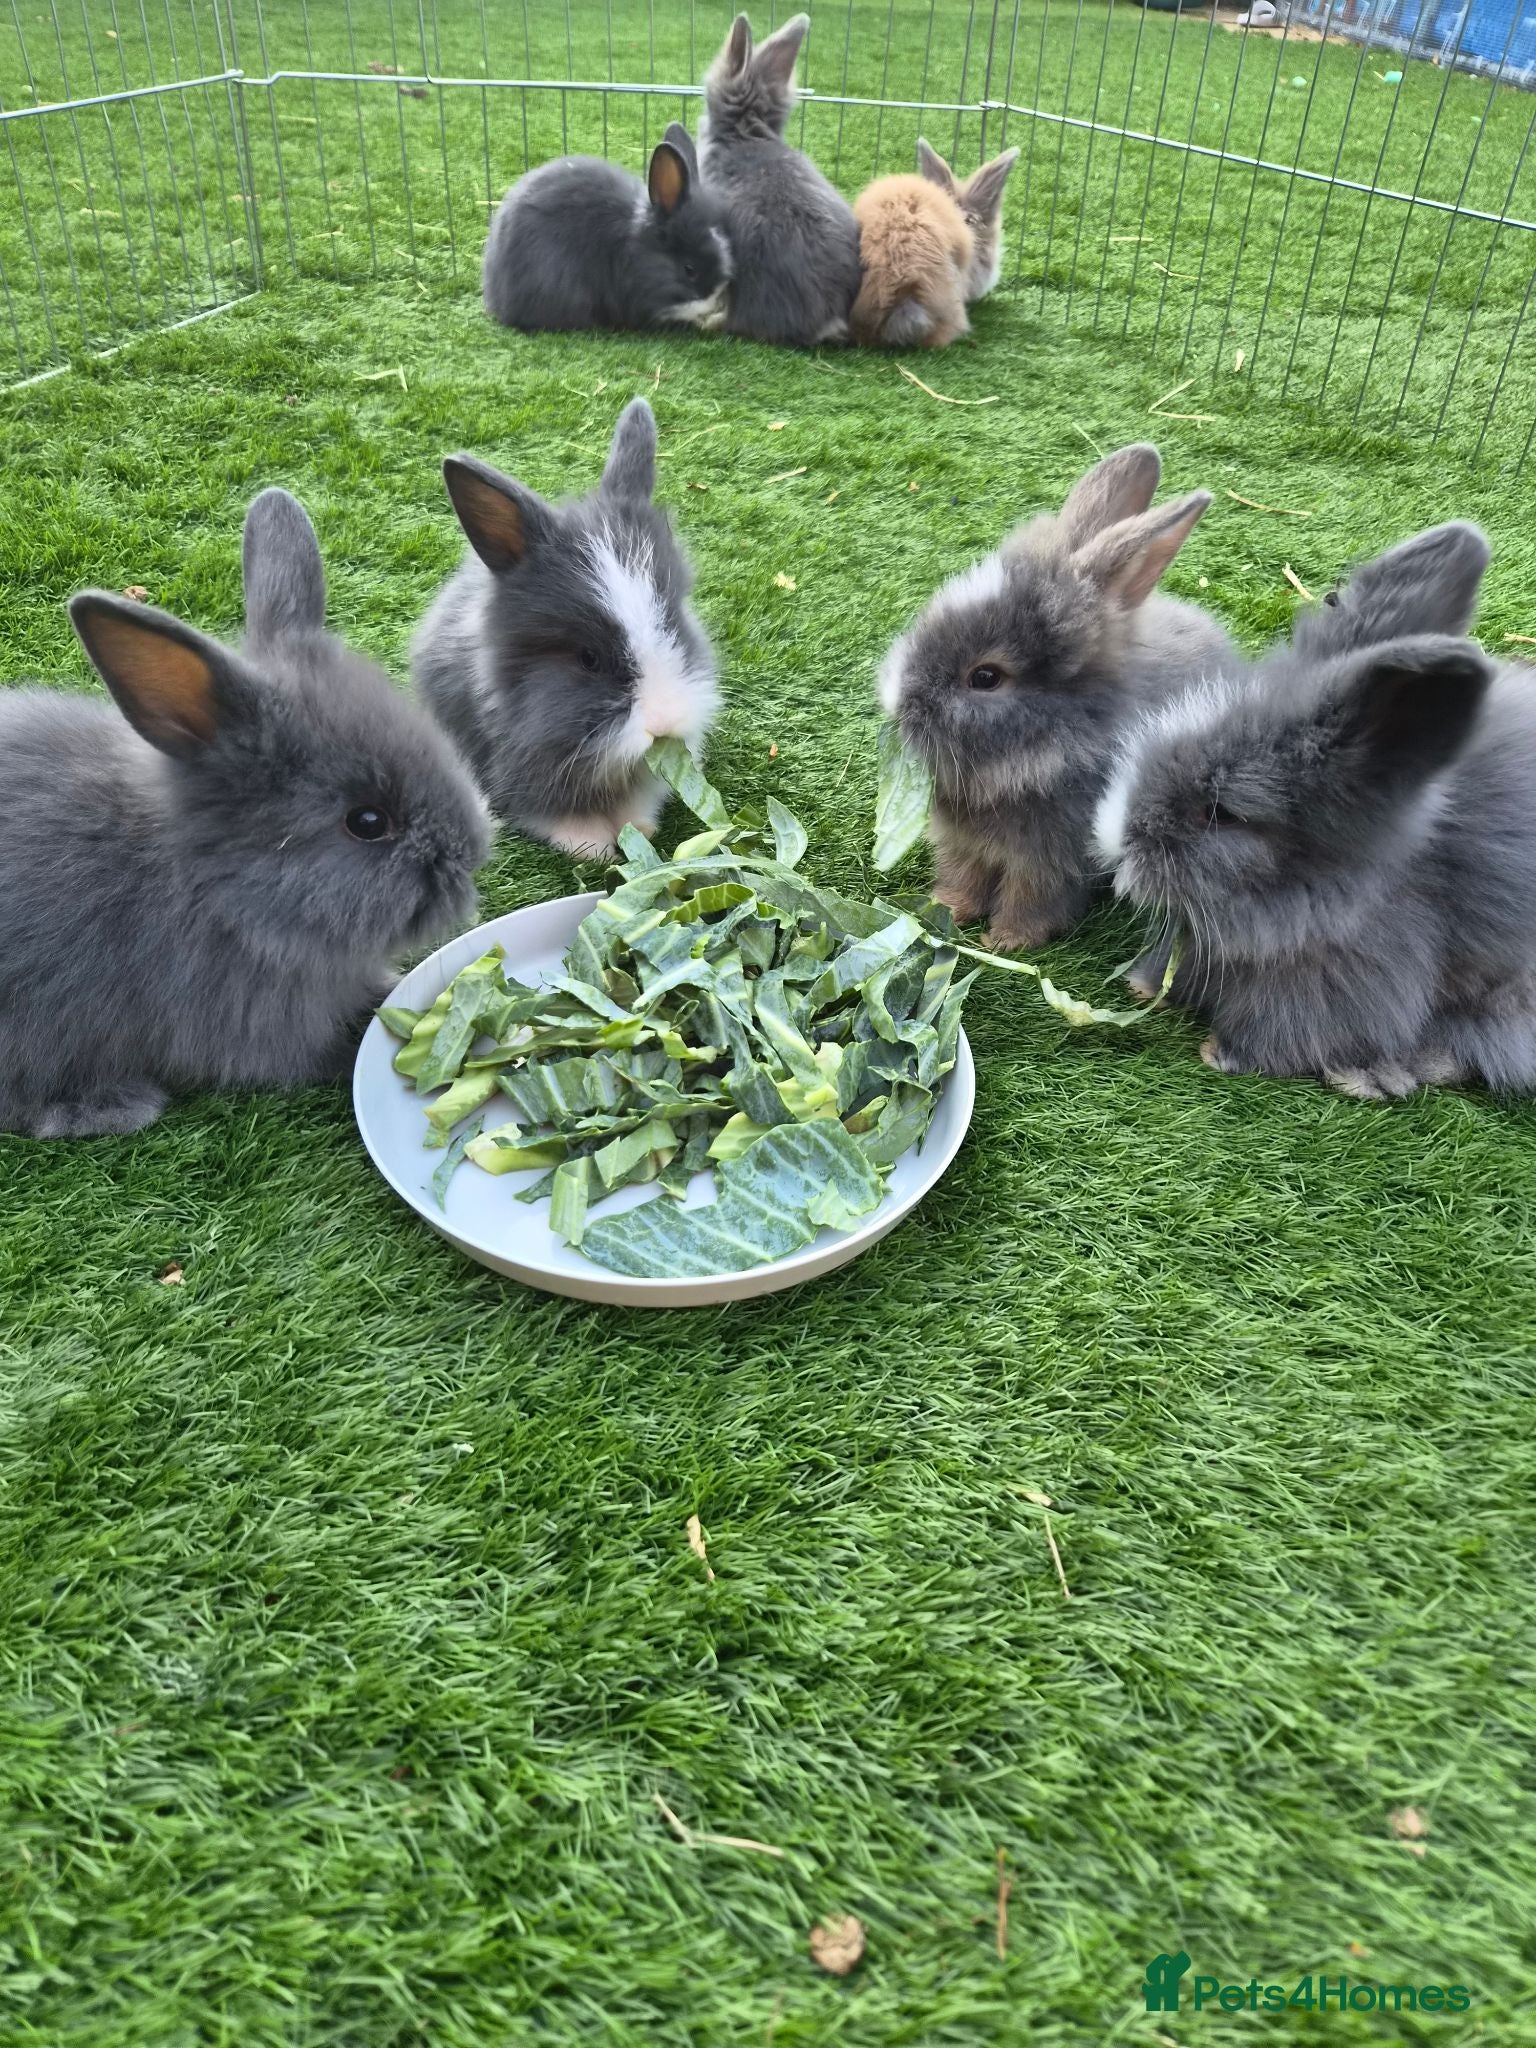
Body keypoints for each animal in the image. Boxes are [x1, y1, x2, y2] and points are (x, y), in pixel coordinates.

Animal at [411, 397, 720, 861]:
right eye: (588, 659)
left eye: (673, 623)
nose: (665, 723)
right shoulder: (518, 758)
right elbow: (544, 808)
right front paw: (591, 846)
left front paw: (639, 828)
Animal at [878, 443, 1234, 951]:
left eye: (985, 677)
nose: (895, 699)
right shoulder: (962, 848)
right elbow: (963, 877)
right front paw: (945, 908)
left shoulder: (1051, 862)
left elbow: (1031, 899)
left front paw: (1005, 942)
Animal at [1093, 521, 1536, 1099]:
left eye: (1224, 814)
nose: (1117, 841)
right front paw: (1146, 988)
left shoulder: (1342, 980)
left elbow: (1289, 1028)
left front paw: (1222, 1053)